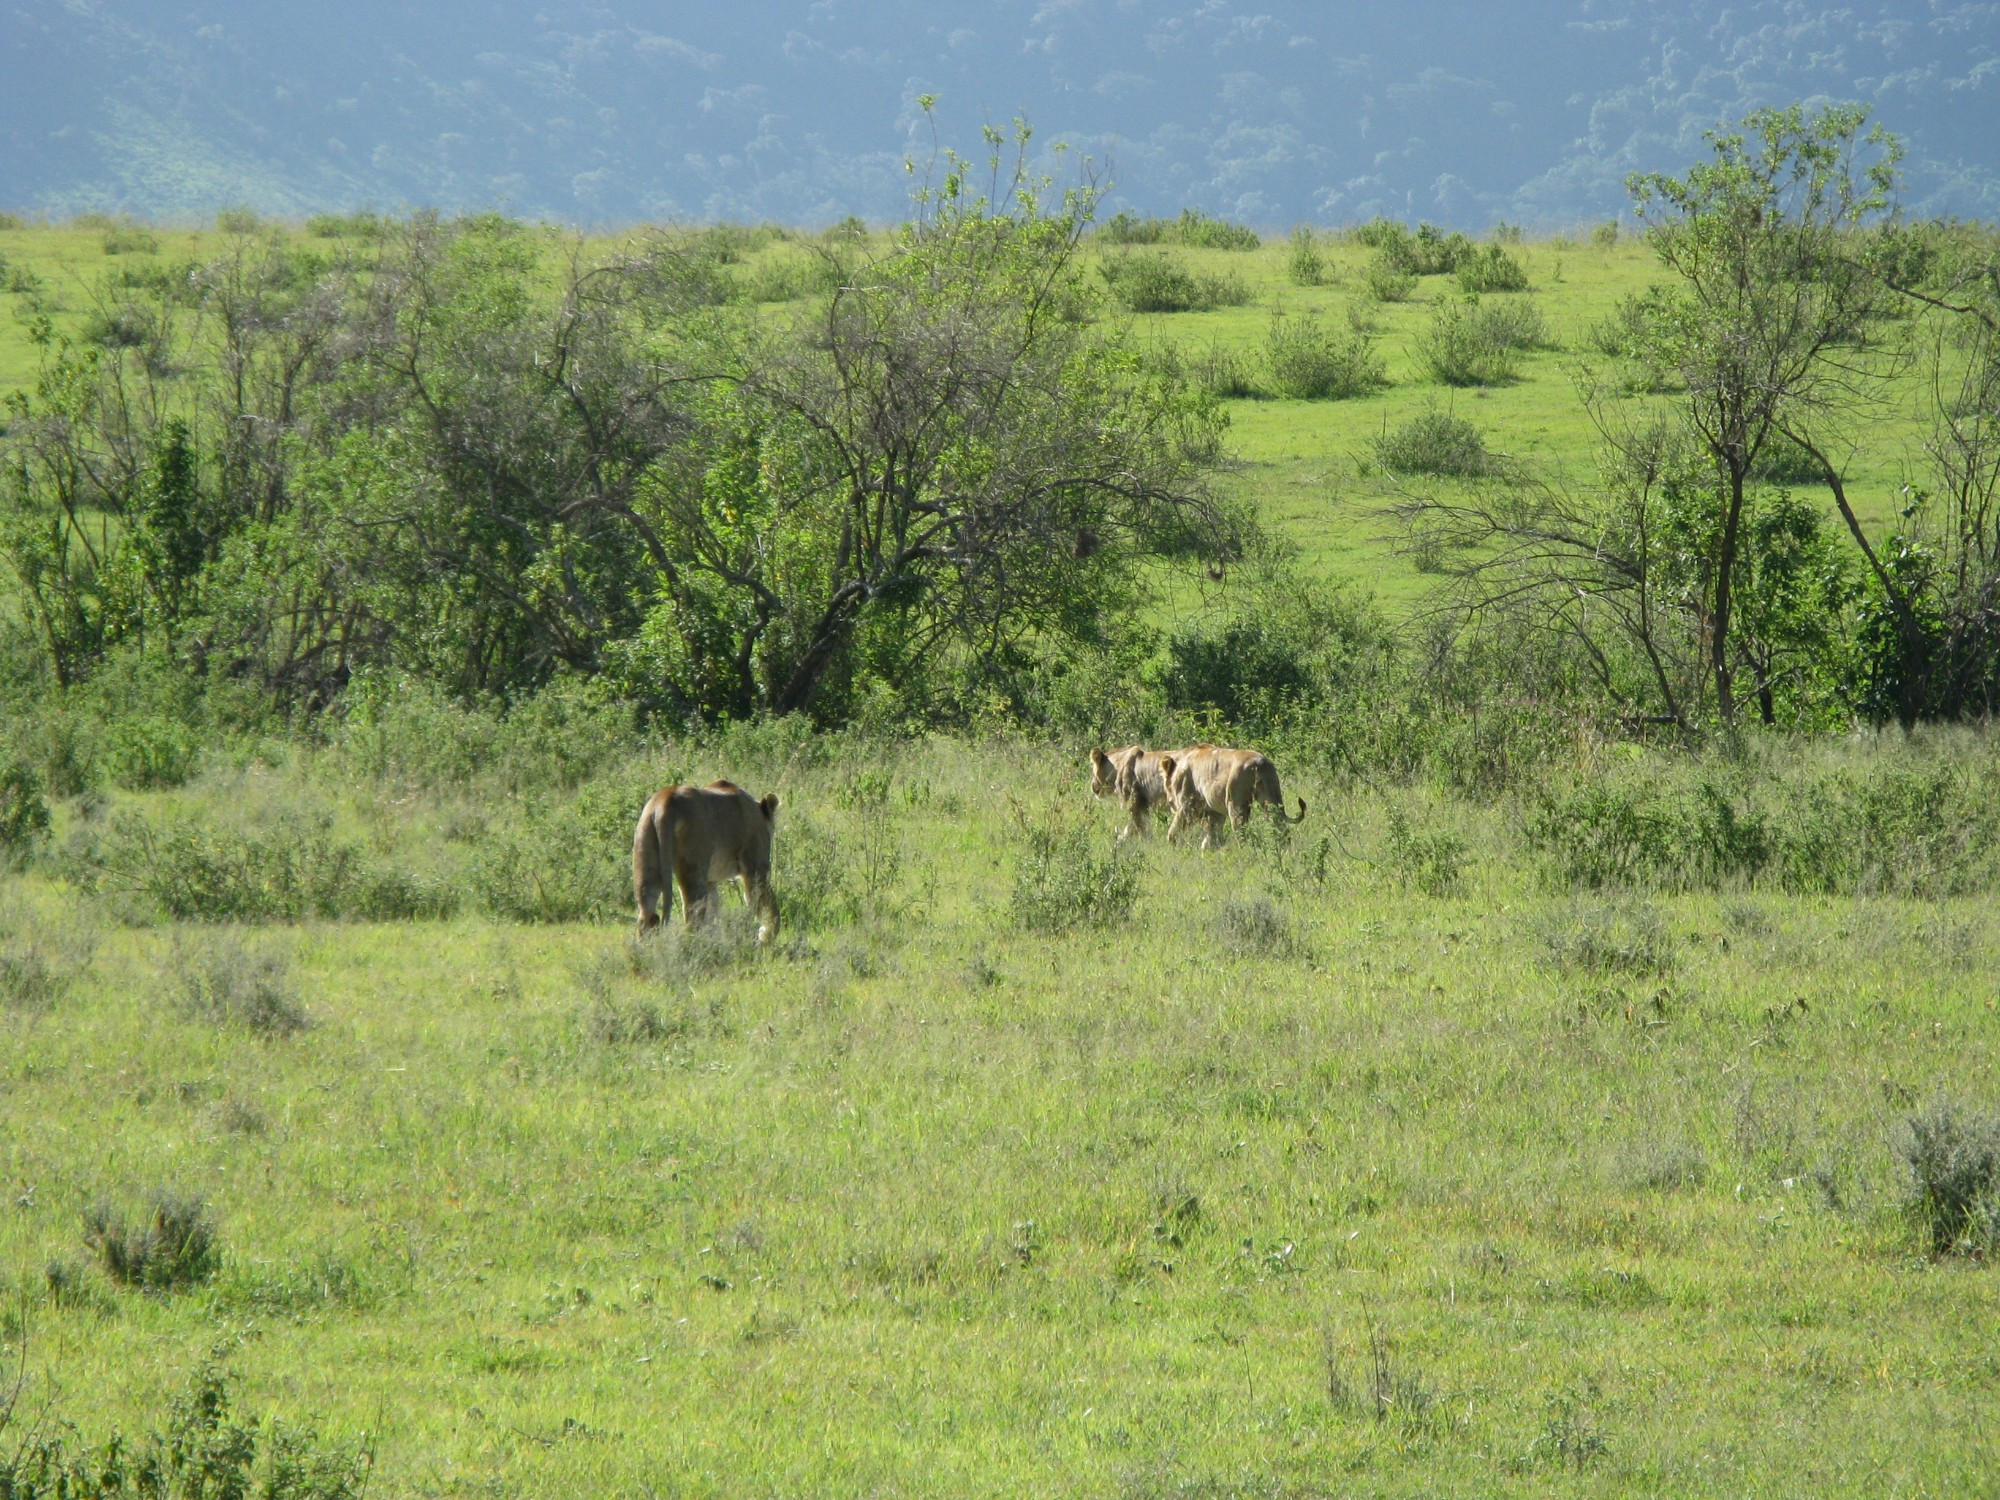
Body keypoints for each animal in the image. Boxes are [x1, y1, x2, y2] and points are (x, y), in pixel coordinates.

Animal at [632, 780, 780, 944]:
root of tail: (664, 801)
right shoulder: (755, 866)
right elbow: (765, 902)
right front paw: (767, 937)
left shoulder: (711, 881)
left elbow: (713, 911)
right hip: (694, 869)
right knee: (692, 918)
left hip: (646, 856)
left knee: (646, 915)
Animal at [1168, 748, 1304, 852]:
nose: (1170, 802)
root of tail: (1260, 763)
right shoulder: (1213, 813)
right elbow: (1212, 834)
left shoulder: (1187, 805)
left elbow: (1174, 829)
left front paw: (1173, 847)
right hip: (1271, 797)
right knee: (1281, 827)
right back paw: (1285, 850)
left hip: (1235, 803)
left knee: (1242, 833)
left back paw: (1244, 854)